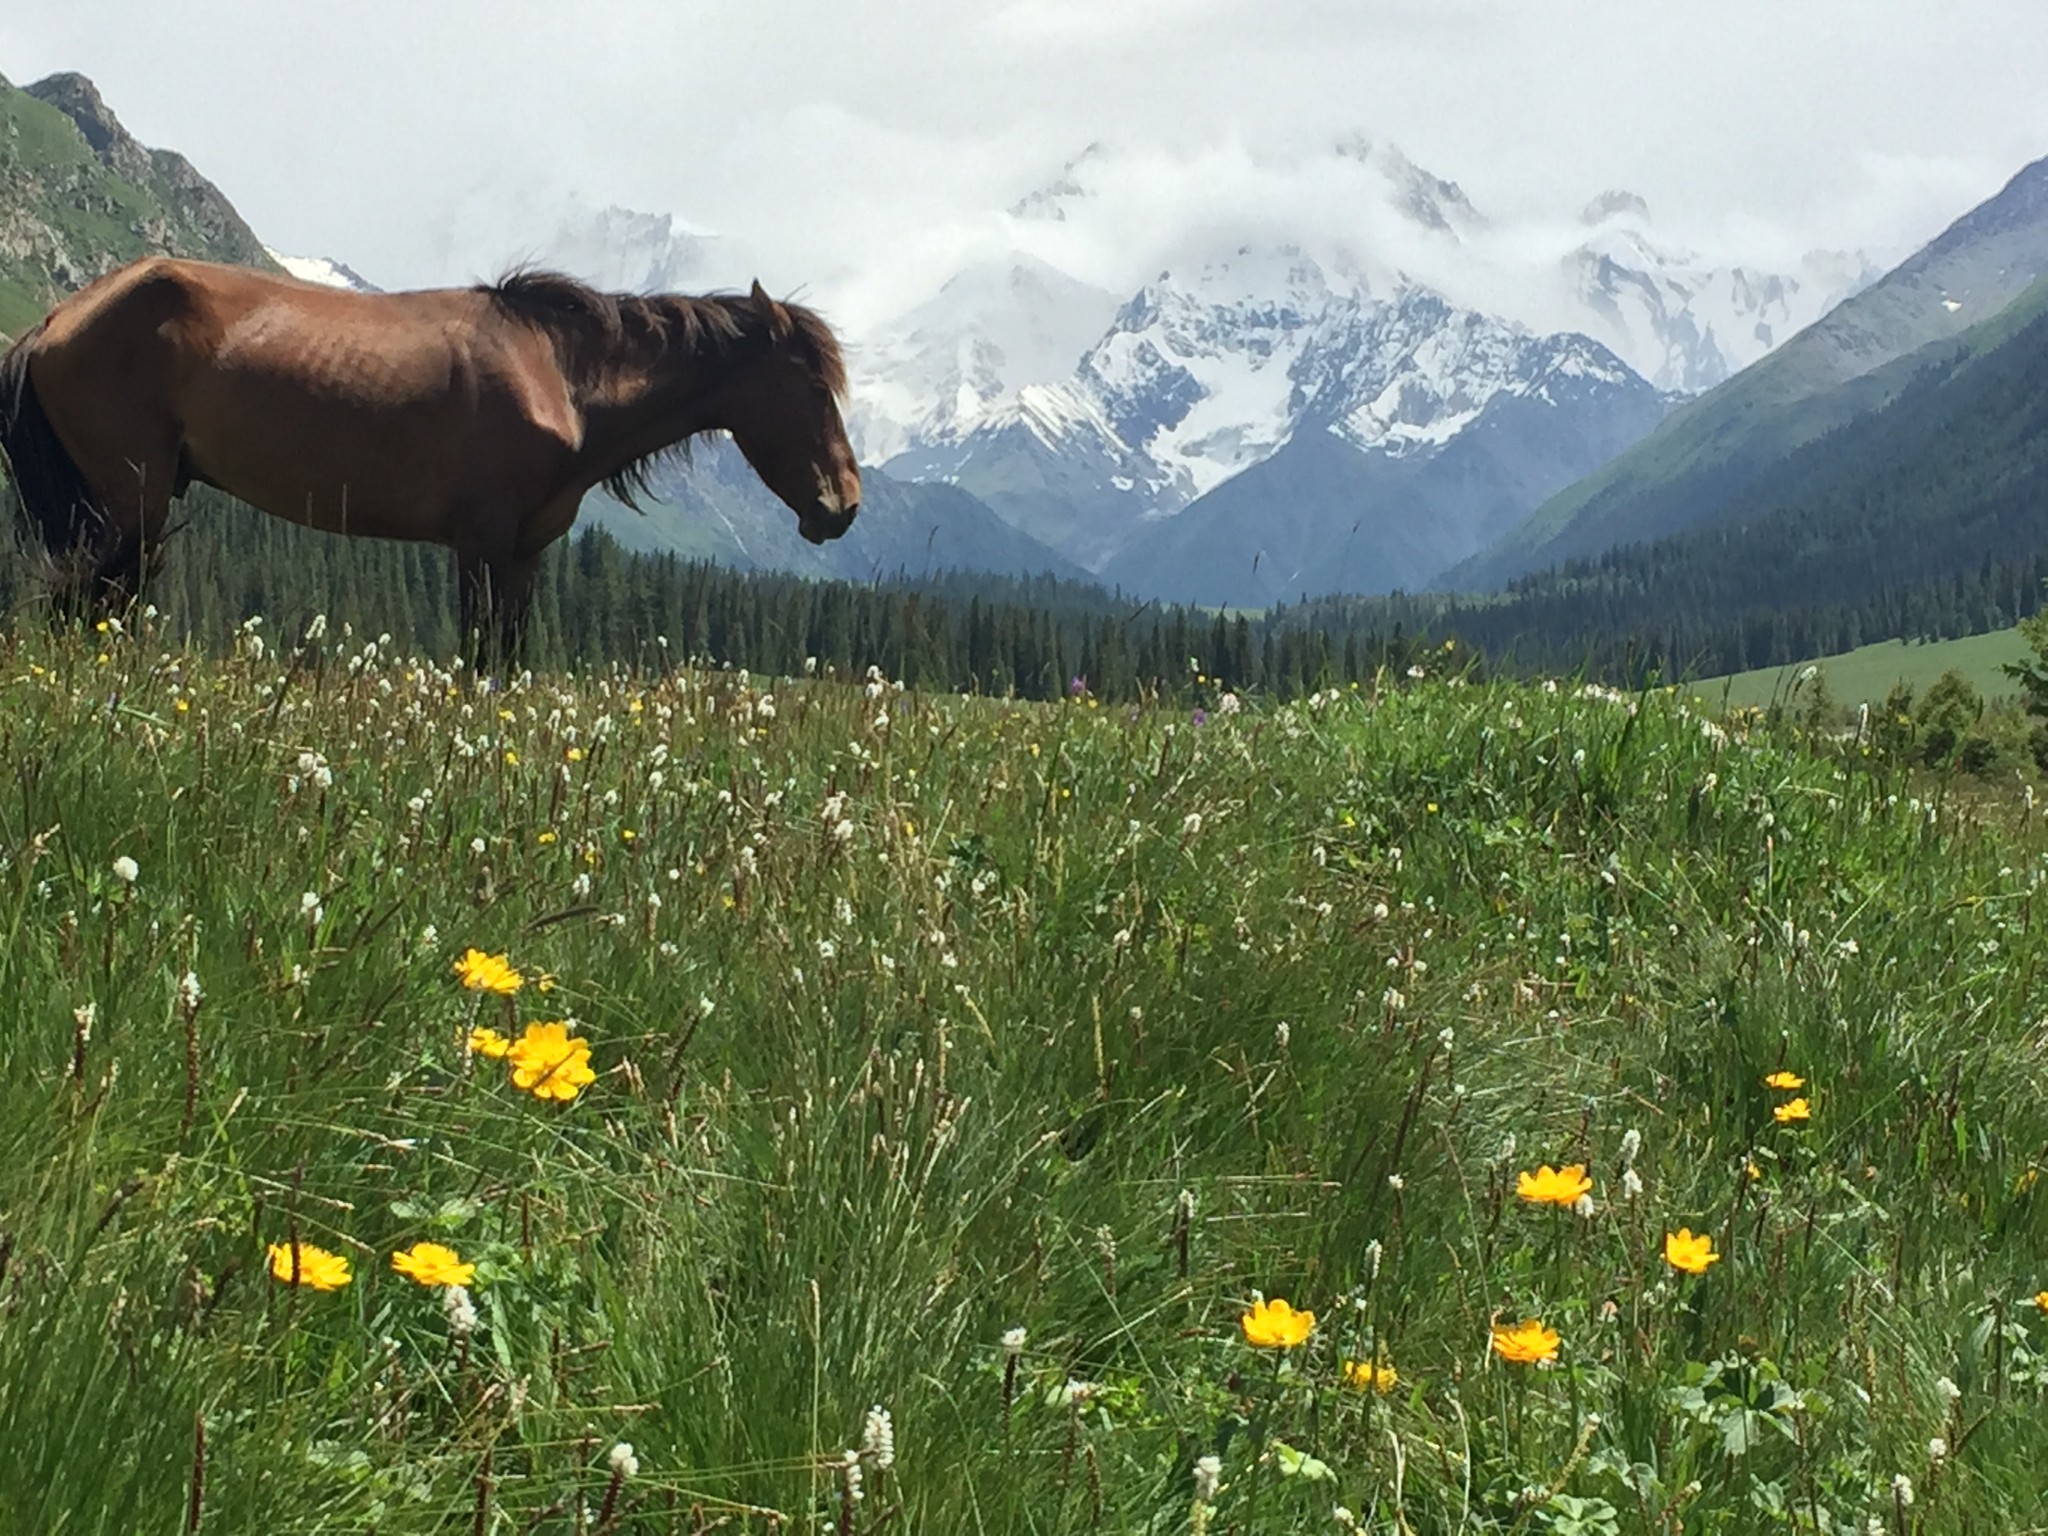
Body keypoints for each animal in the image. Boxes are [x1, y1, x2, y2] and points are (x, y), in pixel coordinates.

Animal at [0, 257, 860, 651]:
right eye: (814, 387)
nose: (843, 507)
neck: (558, 373)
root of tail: (56, 320)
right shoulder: (479, 543)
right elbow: (478, 659)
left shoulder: (524, 554)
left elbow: (506, 663)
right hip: (127, 503)